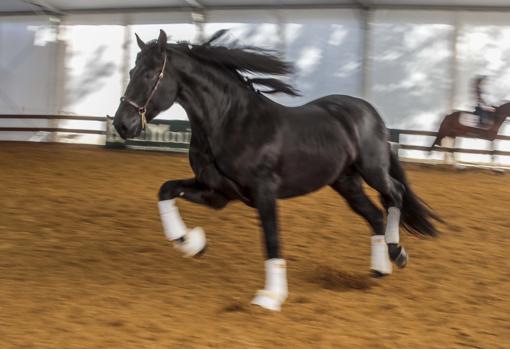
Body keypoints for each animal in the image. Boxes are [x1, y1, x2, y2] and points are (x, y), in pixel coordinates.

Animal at [113, 28, 440, 308]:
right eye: (131, 72)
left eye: (149, 74)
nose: (121, 124)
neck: (230, 121)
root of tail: (369, 111)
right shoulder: (216, 192)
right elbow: (165, 190)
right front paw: (190, 243)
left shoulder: (263, 192)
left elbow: (271, 239)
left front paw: (269, 297)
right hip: (345, 183)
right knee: (374, 215)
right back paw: (380, 267)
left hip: (372, 169)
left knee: (394, 194)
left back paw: (397, 252)